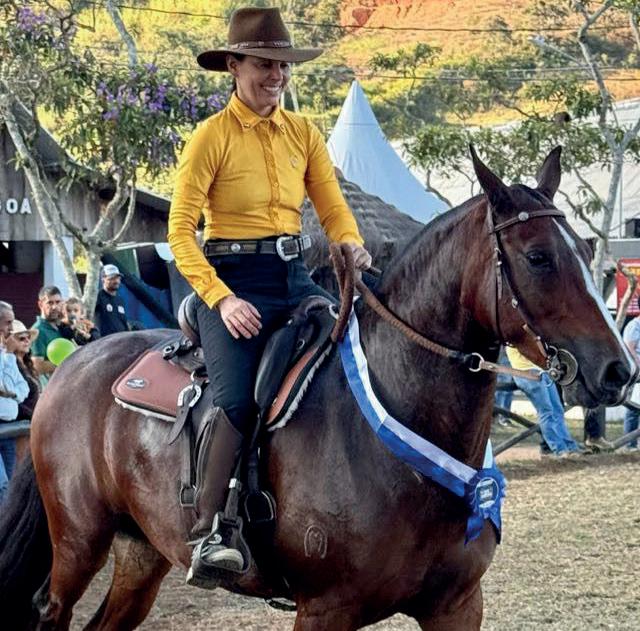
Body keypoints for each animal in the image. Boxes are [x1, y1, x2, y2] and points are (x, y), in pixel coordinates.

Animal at [0, 147, 634, 631]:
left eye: (585, 250)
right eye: (538, 257)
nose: (616, 371)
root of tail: (74, 367)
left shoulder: (456, 606)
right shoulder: (327, 610)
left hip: (141, 552)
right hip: (79, 543)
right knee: (49, 610)